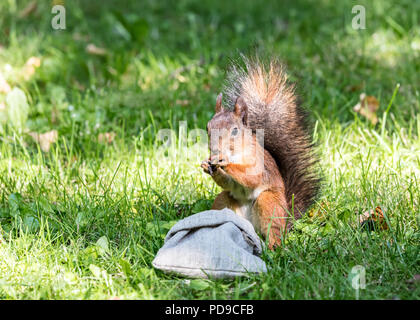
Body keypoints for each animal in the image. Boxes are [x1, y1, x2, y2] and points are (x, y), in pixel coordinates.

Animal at [202, 56, 320, 249]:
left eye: (235, 131)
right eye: (207, 127)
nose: (215, 150)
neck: (236, 153)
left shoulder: (258, 163)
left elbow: (252, 176)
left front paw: (225, 163)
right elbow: (227, 183)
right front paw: (207, 165)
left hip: (268, 203)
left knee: (274, 231)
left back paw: (273, 248)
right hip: (223, 202)